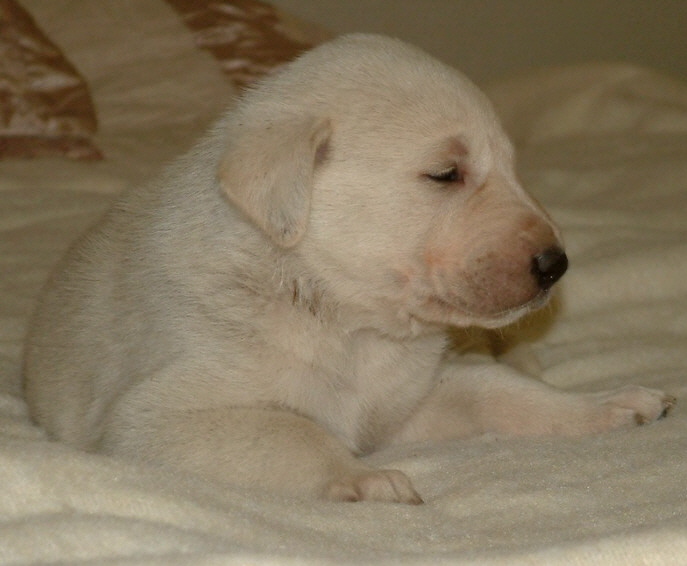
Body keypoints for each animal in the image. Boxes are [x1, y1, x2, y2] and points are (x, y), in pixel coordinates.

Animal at [22, 34, 676, 506]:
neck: (340, 315)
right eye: (445, 173)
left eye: (514, 167)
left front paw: (608, 405)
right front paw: (364, 480)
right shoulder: (155, 419)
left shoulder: (404, 404)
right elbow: (294, 431)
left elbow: (500, 390)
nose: (556, 265)